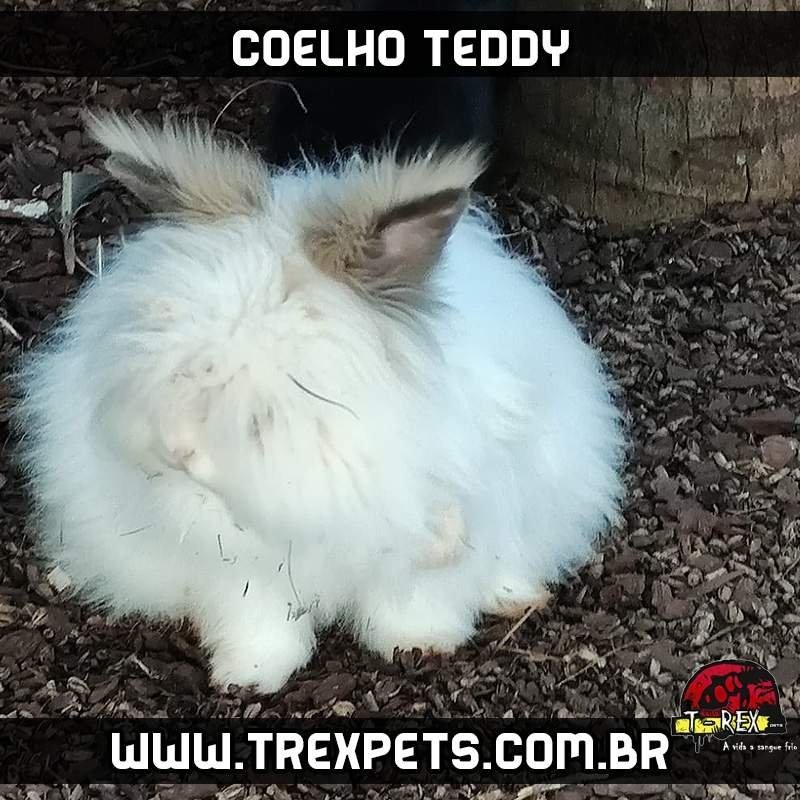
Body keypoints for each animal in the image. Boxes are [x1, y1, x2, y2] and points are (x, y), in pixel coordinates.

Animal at [14, 114, 625, 693]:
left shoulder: (432, 539)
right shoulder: (241, 568)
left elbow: (416, 597)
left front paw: (419, 645)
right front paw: (245, 676)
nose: (179, 453)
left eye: (278, 397)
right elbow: (258, 620)